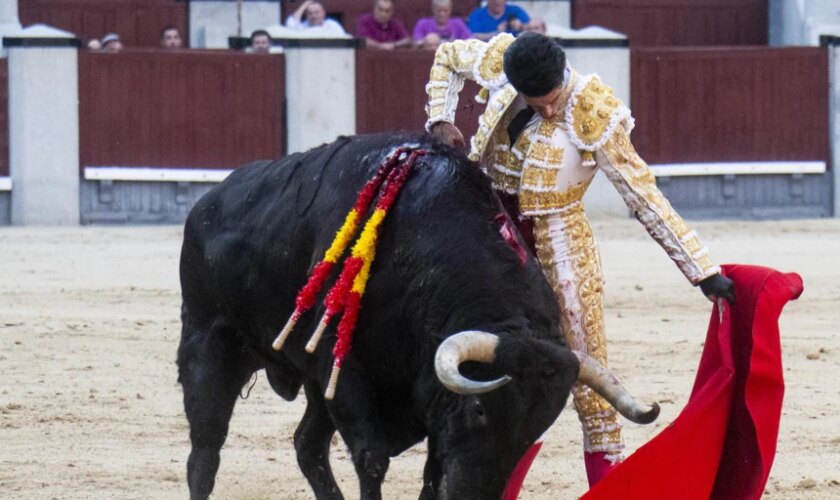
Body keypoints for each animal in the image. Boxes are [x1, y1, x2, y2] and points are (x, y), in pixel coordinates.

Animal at [180, 133, 660, 500]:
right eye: (480, 410)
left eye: (533, 432)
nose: (472, 495)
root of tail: (208, 203)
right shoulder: (342, 367)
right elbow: (372, 458)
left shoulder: (423, 404)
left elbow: (430, 475)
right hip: (209, 345)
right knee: (205, 451)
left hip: (314, 389)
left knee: (307, 446)